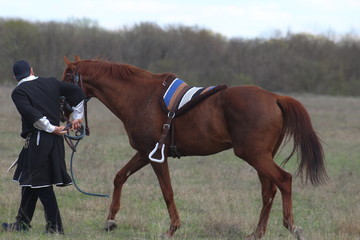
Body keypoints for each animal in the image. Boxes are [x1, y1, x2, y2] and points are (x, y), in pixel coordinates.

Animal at [63, 55, 328, 239]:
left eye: (66, 79)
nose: (64, 112)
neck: (140, 97)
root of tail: (274, 97)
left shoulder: (156, 156)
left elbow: (167, 191)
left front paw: (172, 228)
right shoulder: (143, 153)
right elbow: (119, 177)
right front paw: (110, 221)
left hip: (255, 156)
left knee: (283, 180)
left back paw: (291, 226)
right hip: (261, 157)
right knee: (268, 191)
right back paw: (257, 233)